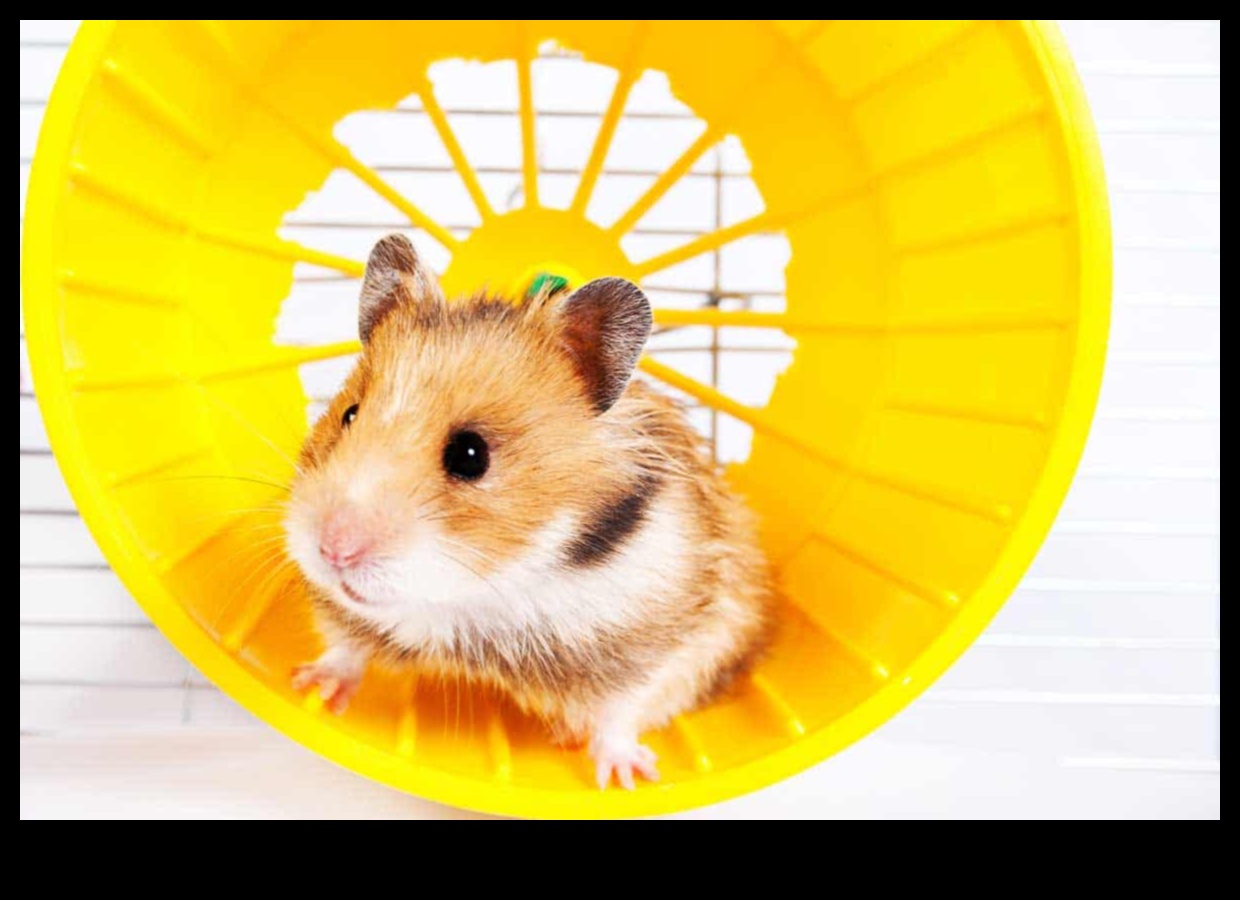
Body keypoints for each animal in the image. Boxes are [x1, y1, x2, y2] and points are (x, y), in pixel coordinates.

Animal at [285, 234, 773, 789]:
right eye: (348, 414)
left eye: (470, 455)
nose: (332, 551)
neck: (482, 591)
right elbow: (345, 648)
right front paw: (309, 687)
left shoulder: (662, 640)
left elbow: (622, 710)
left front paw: (623, 778)